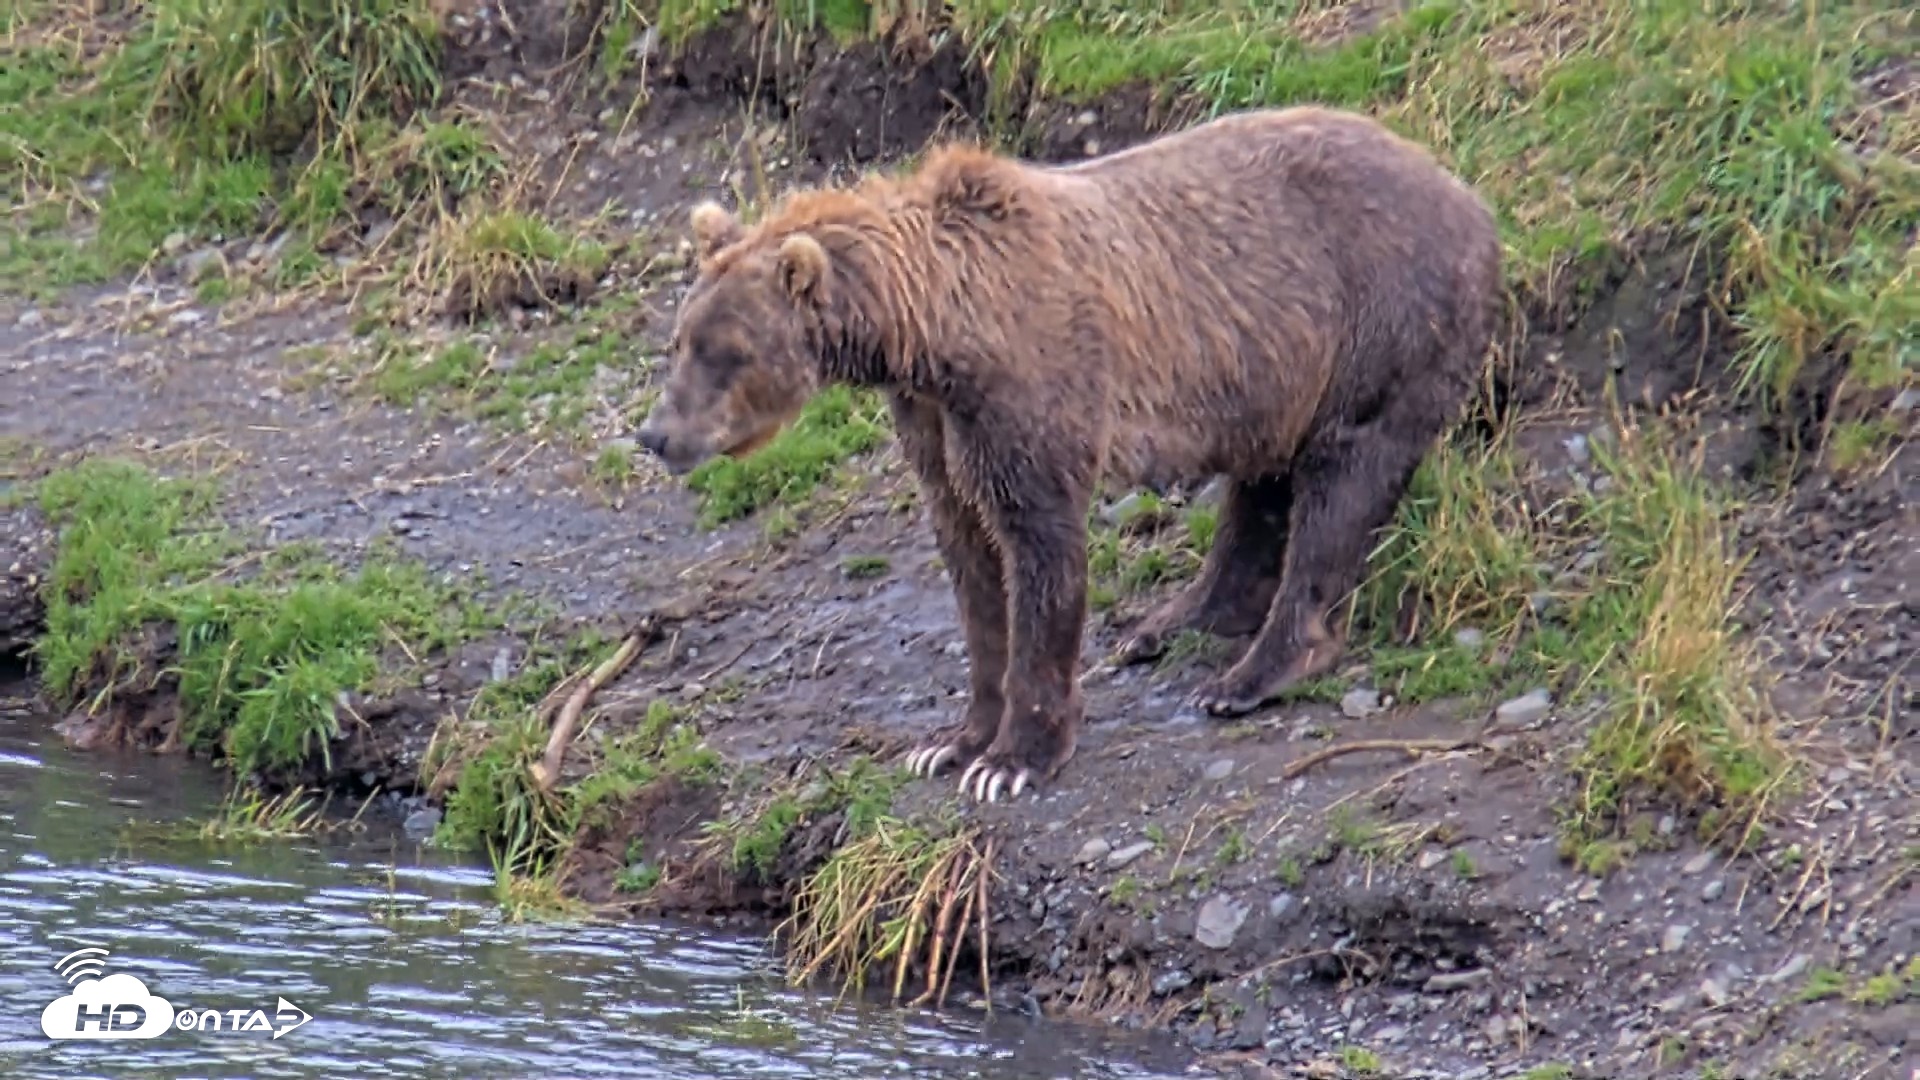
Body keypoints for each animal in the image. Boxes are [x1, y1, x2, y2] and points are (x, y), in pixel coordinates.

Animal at [635, 105, 1504, 804]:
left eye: (726, 352)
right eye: (679, 341)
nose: (656, 435)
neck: (934, 332)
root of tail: (1470, 196)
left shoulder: (1029, 389)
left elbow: (1038, 546)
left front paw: (1013, 759)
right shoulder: (932, 418)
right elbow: (970, 557)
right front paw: (951, 742)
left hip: (1381, 319)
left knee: (1342, 479)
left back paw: (1251, 674)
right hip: (1274, 365)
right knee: (1261, 484)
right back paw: (1171, 622)